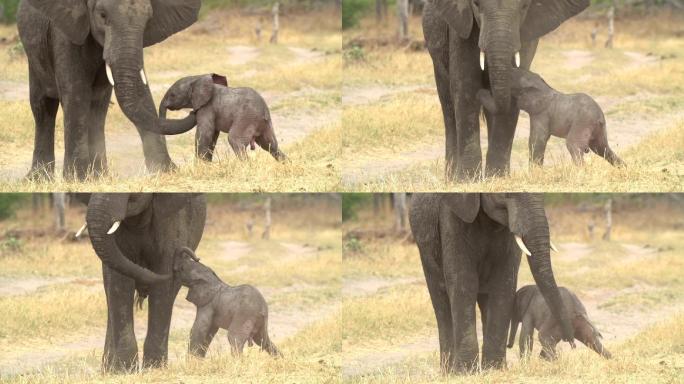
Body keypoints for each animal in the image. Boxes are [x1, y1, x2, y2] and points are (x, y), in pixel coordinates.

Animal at [17, 0, 200, 181]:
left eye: (148, 19)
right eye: (103, 15)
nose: (193, 111)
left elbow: (138, 91)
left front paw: (166, 171)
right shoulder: (64, 35)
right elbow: (76, 93)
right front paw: (77, 179)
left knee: (97, 108)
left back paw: (100, 175)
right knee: (42, 107)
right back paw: (38, 179)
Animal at [83, 194, 206, 370]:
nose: (193, 258)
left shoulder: (174, 219)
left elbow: (163, 287)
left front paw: (154, 369)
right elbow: (119, 282)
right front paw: (123, 370)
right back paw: (107, 369)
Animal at [408, 194, 576, 374]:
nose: (572, 344)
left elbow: (504, 282)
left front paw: (495, 370)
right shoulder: (451, 217)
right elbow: (463, 281)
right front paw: (466, 373)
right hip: (425, 250)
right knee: (441, 302)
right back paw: (448, 372)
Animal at [422, 0, 588, 180]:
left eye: (524, 6)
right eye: (476, 4)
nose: (484, 91)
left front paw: (497, 177)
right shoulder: (460, 27)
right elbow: (465, 82)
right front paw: (467, 180)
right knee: (448, 105)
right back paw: (451, 179)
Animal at [478, 69, 624, 168]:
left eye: (512, 87)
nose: (483, 87)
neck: (543, 87)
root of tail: (600, 116)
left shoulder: (541, 114)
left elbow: (537, 140)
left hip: (582, 123)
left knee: (574, 145)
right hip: (598, 128)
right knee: (602, 148)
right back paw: (623, 168)